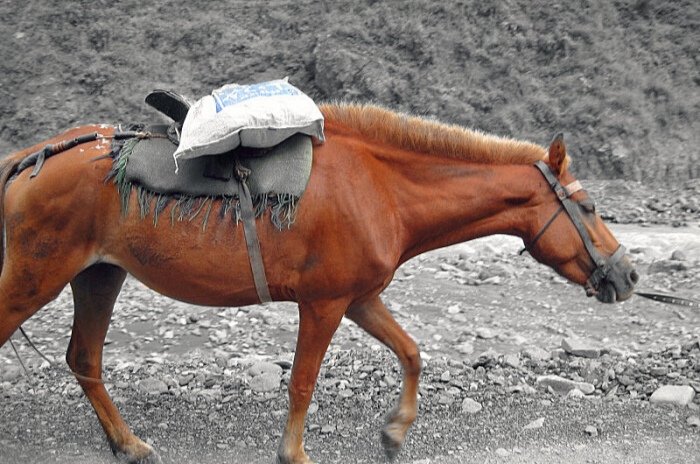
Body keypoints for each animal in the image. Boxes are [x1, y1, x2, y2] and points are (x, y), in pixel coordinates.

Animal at [0, 103, 637, 464]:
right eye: (590, 206)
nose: (627, 274)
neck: (382, 188)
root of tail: (31, 156)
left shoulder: (361, 299)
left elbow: (412, 353)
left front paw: (395, 433)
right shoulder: (325, 304)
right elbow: (303, 384)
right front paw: (295, 454)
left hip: (98, 275)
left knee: (84, 359)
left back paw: (128, 444)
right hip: (38, 276)